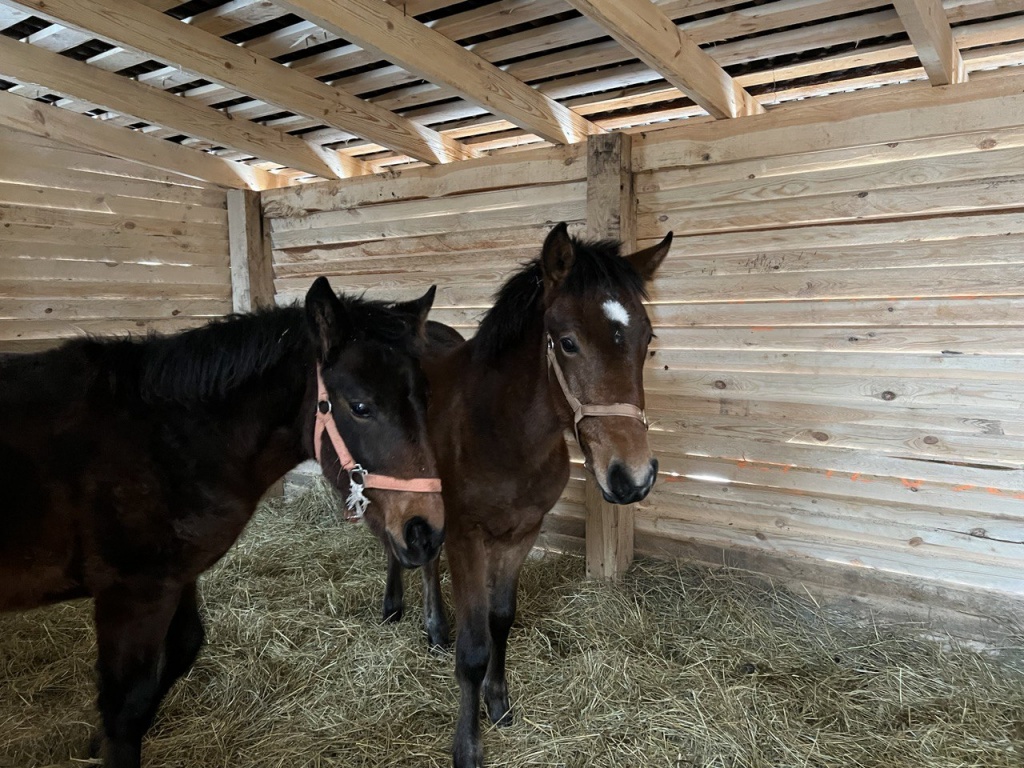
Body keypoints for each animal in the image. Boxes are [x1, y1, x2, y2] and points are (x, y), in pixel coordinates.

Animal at [0, 276, 444, 768]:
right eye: (362, 407)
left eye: (425, 399)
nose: (425, 532)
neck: (168, 441)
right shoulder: (131, 595)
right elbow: (125, 709)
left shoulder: (175, 578)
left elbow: (182, 649)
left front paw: (96, 741)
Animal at [376, 219, 671, 765]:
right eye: (568, 342)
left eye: (647, 338)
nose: (633, 477)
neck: (499, 431)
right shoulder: (468, 538)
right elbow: (473, 649)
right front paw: (468, 745)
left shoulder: (522, 533)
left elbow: (501, 620)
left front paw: (499, 704)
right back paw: (392, 606)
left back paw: (434, 628)